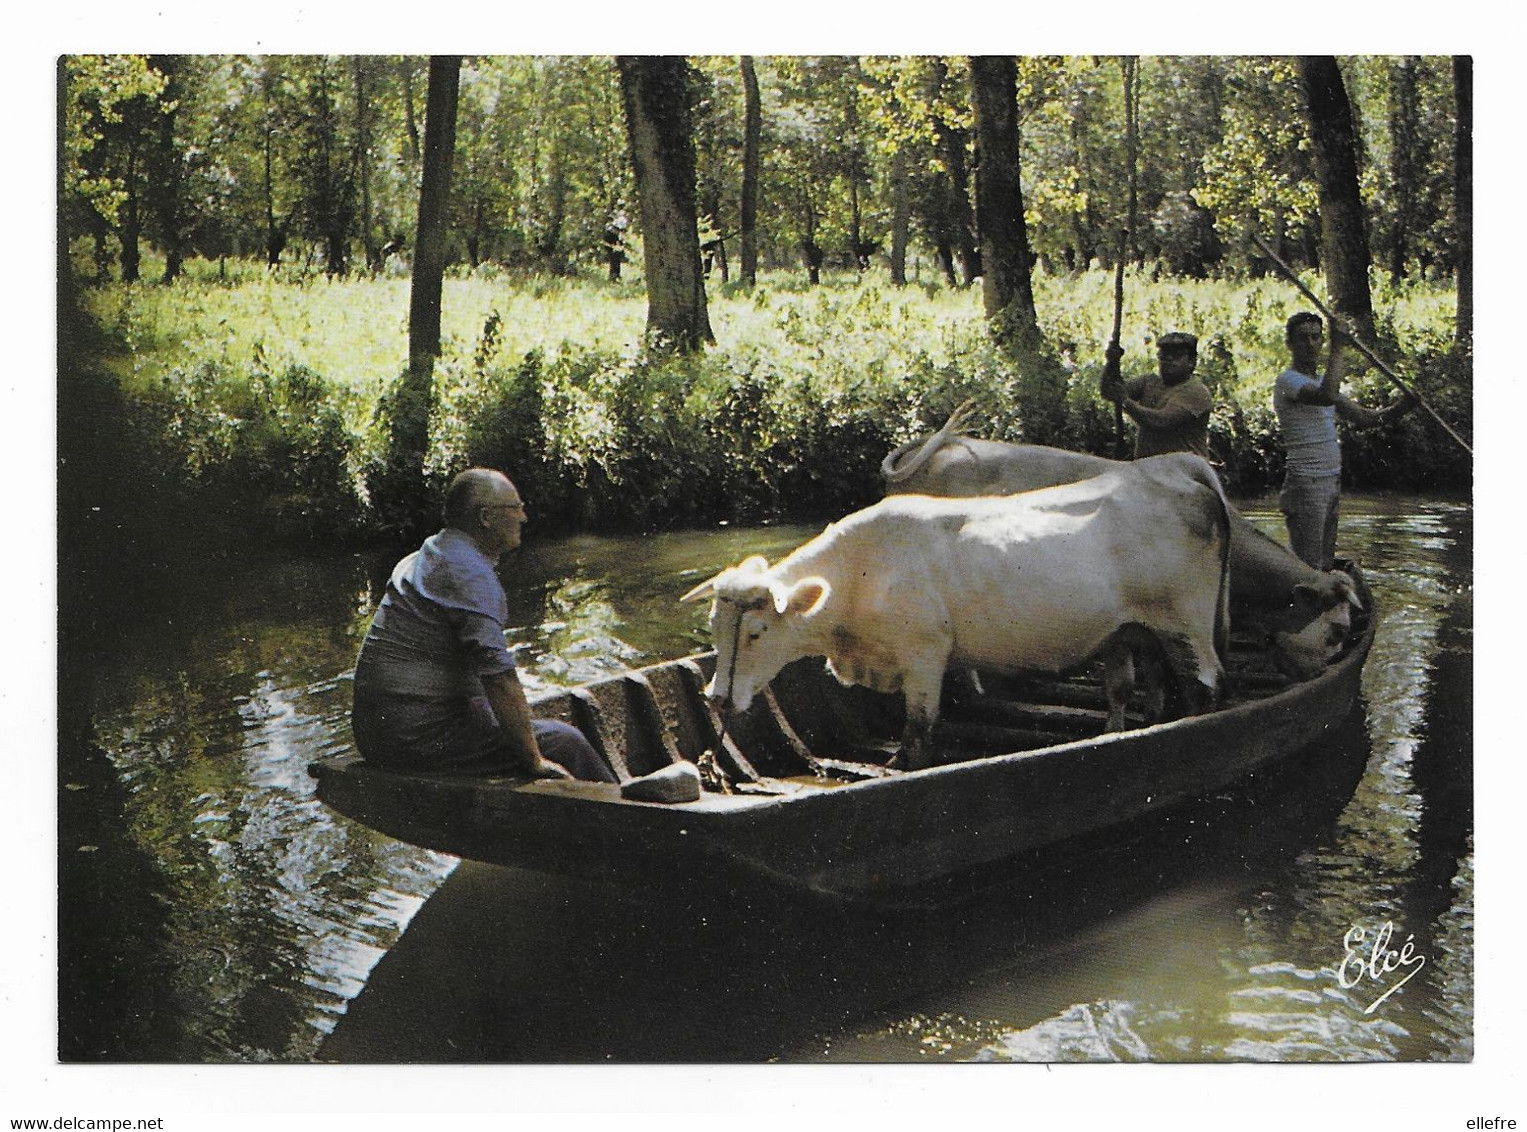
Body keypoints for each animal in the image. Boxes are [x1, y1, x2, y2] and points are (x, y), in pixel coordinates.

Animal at [681, 449, 1227, 766]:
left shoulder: (924, 654)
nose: (718, 698)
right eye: (714, 627)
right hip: (1134, 629)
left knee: (1206, 684)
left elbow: (918, 730)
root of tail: (1182, 475)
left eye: (755, 633)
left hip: (1187, 622)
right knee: (1136, 686)